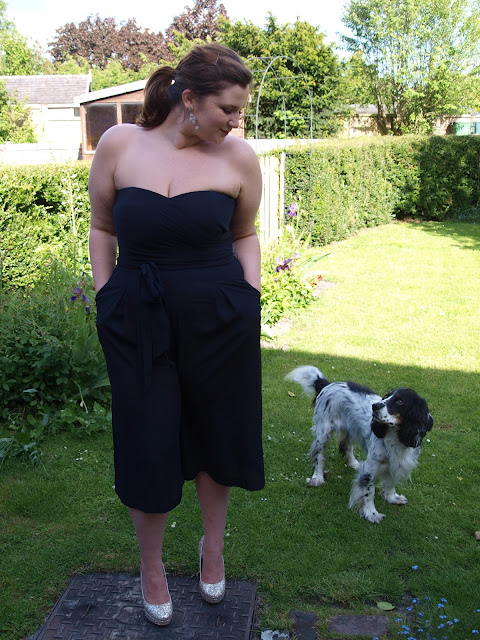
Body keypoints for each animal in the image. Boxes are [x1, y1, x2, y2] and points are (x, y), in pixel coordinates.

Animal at [285, 365, 433, 523]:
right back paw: (317, 478)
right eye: (387, 396)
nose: (375, 406)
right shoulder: (370, 468)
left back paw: (353, 463)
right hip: (323, 433)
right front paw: (371, 513)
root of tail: (327, 384)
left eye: (400, 402)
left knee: (346, 445)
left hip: (350, 428)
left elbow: (391, 483)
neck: (395, 438)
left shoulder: (397, 464)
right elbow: (369, 491)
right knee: (319, 456)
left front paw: (391, 498)